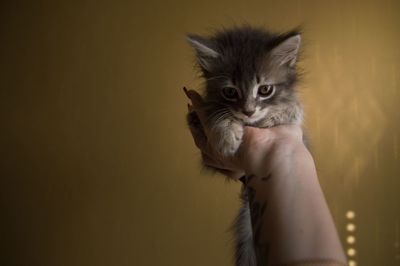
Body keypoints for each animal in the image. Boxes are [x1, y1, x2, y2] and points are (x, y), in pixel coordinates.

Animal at [188, 25, 304, 266]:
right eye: (230, 92)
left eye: (265, 90)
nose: (248, 111)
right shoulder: (199, 112)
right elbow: (215, 113)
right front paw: (226, 136)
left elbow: (294, 109)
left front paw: (280, 113)